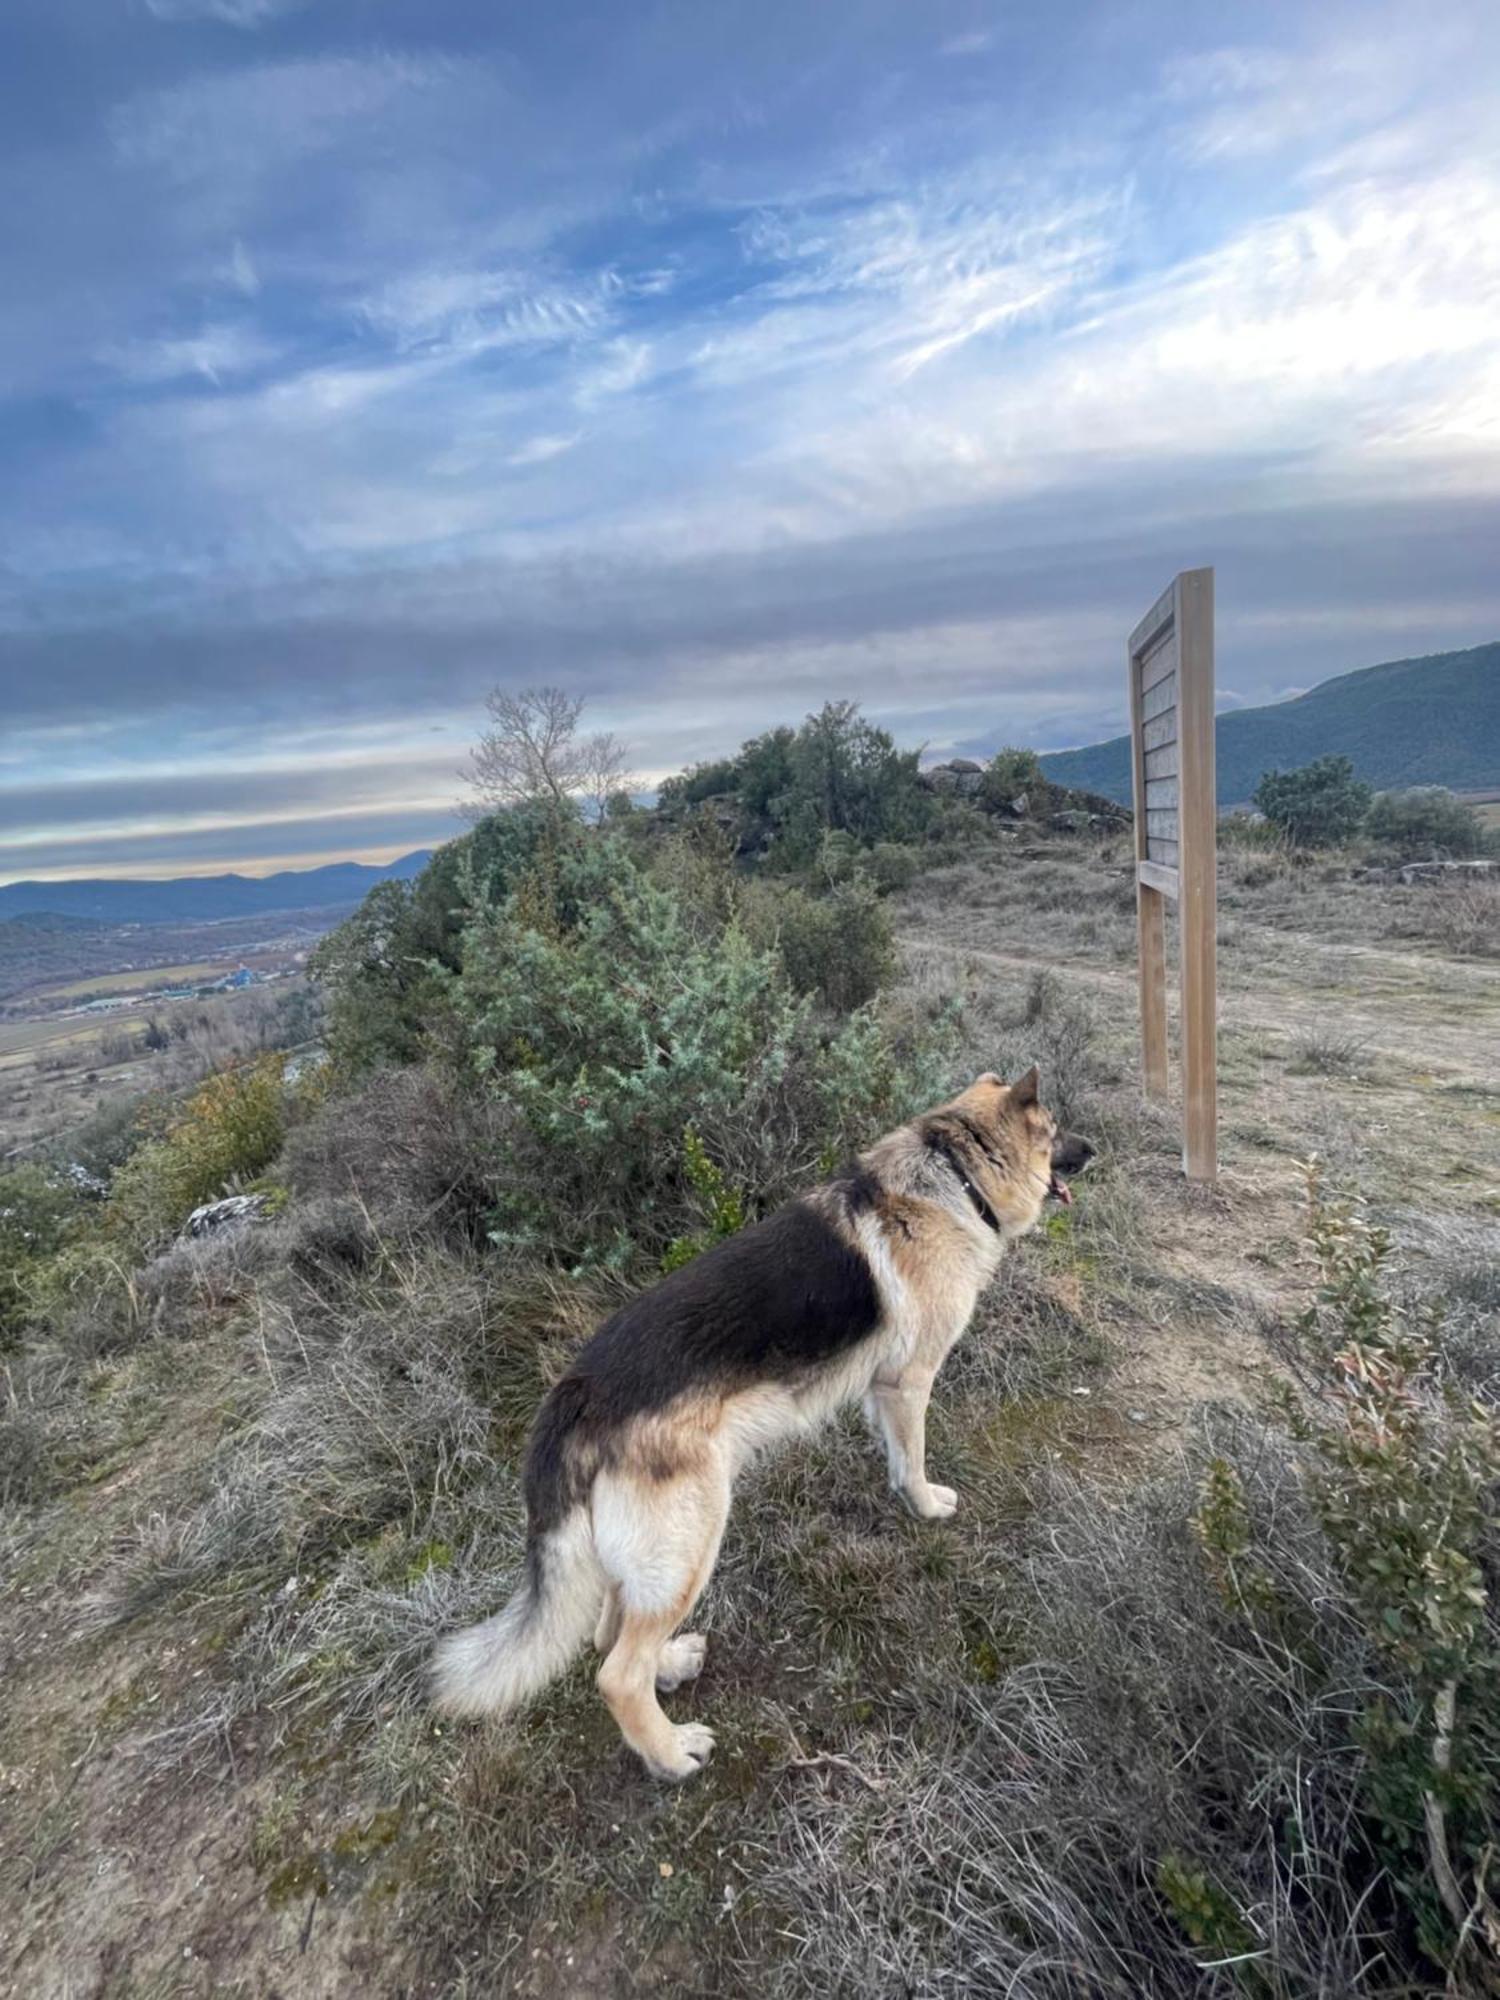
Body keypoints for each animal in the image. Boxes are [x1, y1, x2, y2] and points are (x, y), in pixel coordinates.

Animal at [432, 1072, 1096, 1776]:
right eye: (1055, 1130)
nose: (1097, 1150)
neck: (955, 1176)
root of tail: (574, 1395)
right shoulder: (909, 1382)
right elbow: (914, 1458)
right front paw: (925, 1505)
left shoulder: (880, 1391)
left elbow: (894, 1454)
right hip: (691, 1542)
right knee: (617, 1673)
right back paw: (672, 1753)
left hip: (650, 1558)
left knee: (609, 1634)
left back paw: (671, 1666)